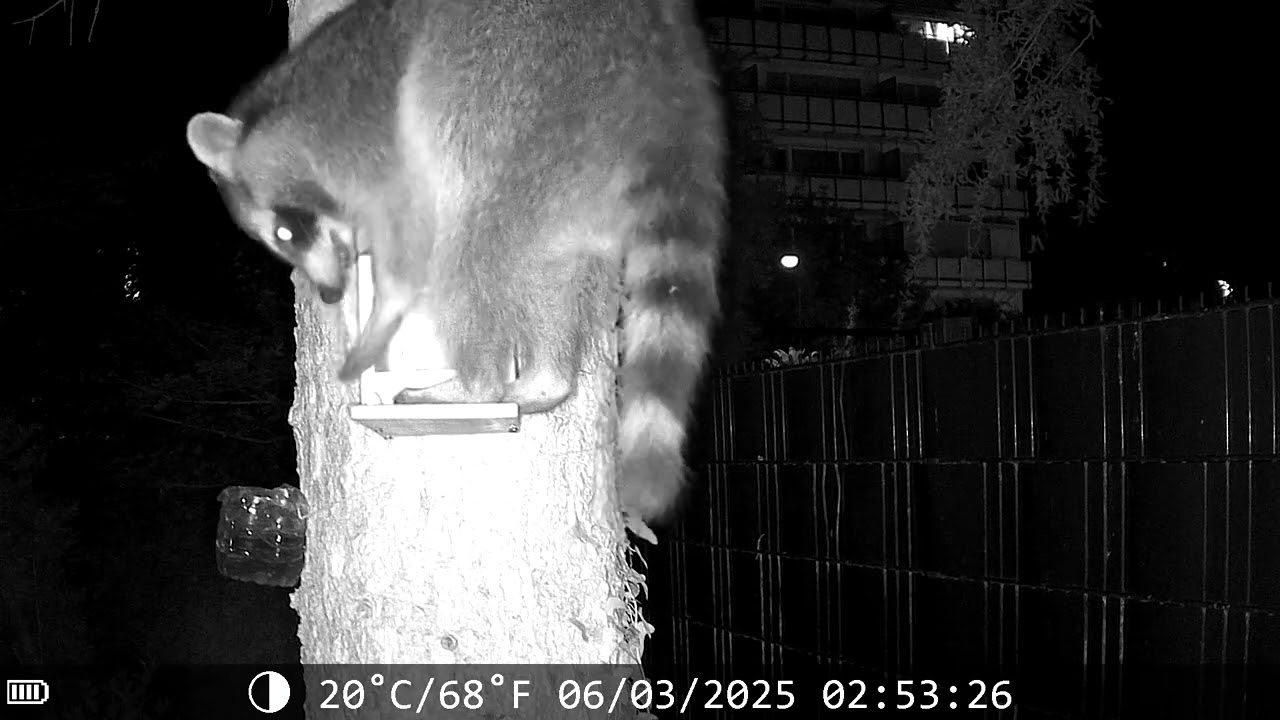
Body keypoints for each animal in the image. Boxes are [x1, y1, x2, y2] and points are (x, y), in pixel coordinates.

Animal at [184, 0, 727, 529]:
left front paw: (367, 326)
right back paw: (545, 378)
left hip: (519, 96)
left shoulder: (369, 143)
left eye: (284, 233)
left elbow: (409, 246)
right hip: (572, 162)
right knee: (554, 263)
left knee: (467, 236)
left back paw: (475, 384)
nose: (330, 292)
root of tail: (668, 73)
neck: (288, 110)